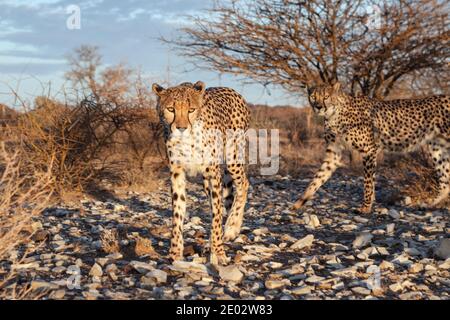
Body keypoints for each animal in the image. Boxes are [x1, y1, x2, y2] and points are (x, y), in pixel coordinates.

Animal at [151, 81, 250, 264]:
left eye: (191, 110)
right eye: (170, 109)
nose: (181, 128)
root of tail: (232, 90)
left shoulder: (213, 174)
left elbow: (216, 216)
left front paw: (218, 253)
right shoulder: (177, 173)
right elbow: (178, 213)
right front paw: (175, 252)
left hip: (232, 158)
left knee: (243, 184)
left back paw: (232, 227)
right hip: (206, 180)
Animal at [294, 82, 450, 212]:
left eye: (326, 96)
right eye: (313, 97)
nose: (318, 106)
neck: (333, 114)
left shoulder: (369, 150)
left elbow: (368, 183)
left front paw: (366, 207)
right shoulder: (334, 152)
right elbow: (318, 178)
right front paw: (300, 201)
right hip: (437, 148)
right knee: (446, 180)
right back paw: (430, 205)